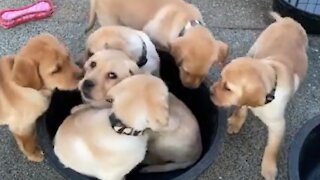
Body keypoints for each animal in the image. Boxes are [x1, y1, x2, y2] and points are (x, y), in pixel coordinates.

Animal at [0, 33, 82, 162]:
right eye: (56, 70)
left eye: (68, 56)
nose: (82, 74)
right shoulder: (22, 127)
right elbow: (26, 142)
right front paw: (34, 154)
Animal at [210, 11, 308, 179]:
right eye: (220, 77)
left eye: (228, 88)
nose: (210, 92)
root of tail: (287, 20)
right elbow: (241, 108)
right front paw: (236, 122)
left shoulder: (278, 125)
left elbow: (272, 148)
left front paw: (269, 168)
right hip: (256, 45)